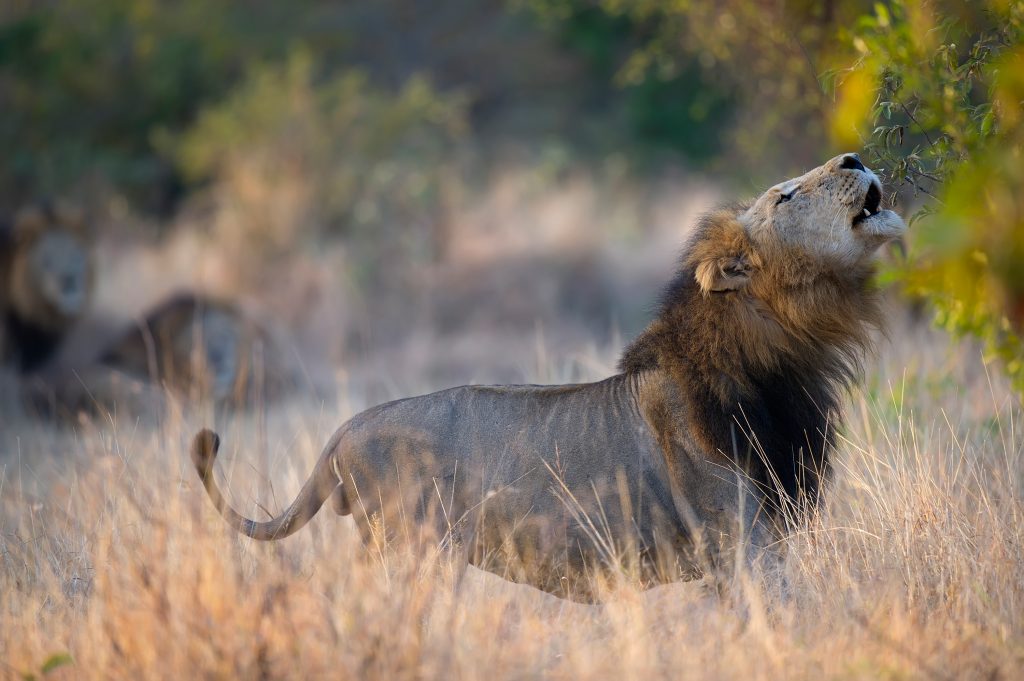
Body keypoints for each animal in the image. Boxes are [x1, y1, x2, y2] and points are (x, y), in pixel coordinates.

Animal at [188, 153, 901, 602]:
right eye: (785, 195)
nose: (853, 158)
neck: (789, 352)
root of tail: (342, 432)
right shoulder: (742, 543)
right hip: (410, 551)